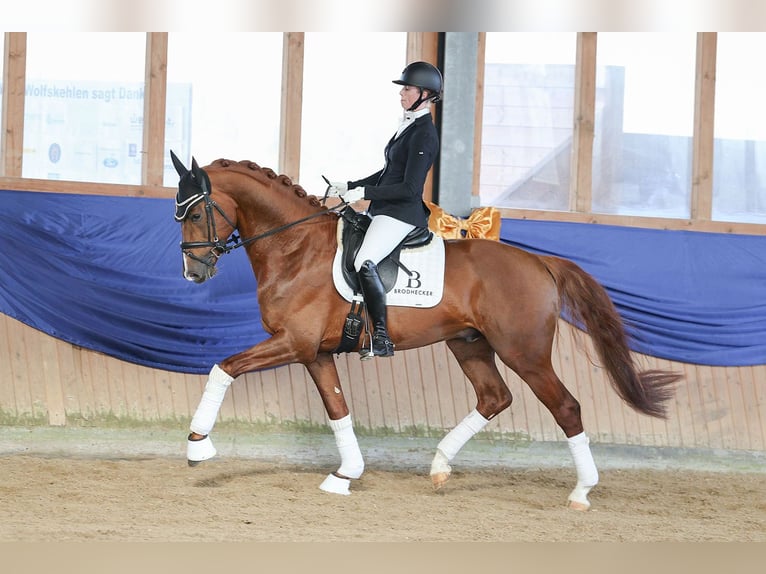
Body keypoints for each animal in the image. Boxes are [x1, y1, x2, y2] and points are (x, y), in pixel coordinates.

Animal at [170, 153, 681, 510]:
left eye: (194, 215)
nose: (193, 273)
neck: (295, 248)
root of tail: (539, 261)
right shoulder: (314, 352)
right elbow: (337, 409)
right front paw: (346, 474)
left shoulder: (293, 344)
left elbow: (223, 368)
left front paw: (198, 446)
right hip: (469, 345)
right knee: (494, 397)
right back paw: (439, 467)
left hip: (524, 352)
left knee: (566, 407)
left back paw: (581, 492)